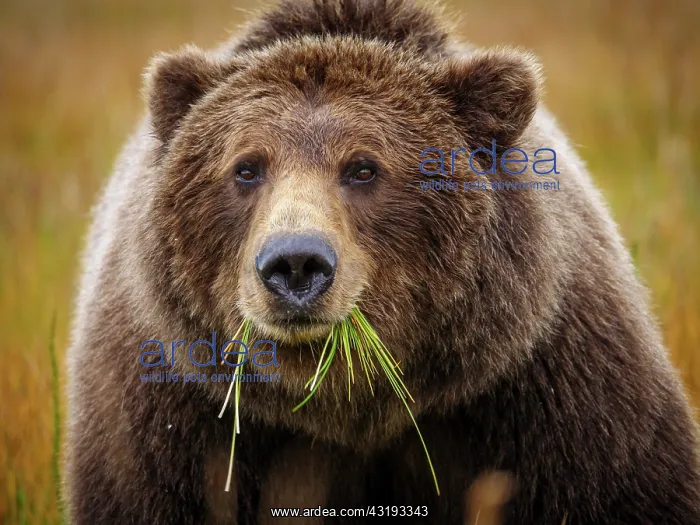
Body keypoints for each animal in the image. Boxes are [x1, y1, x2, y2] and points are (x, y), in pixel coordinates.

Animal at [64, 0, 700, 523]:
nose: (296, 264)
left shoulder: (552, 388)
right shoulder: (175, 415)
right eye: (246, 167)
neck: (350, 402)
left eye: (363, 167)